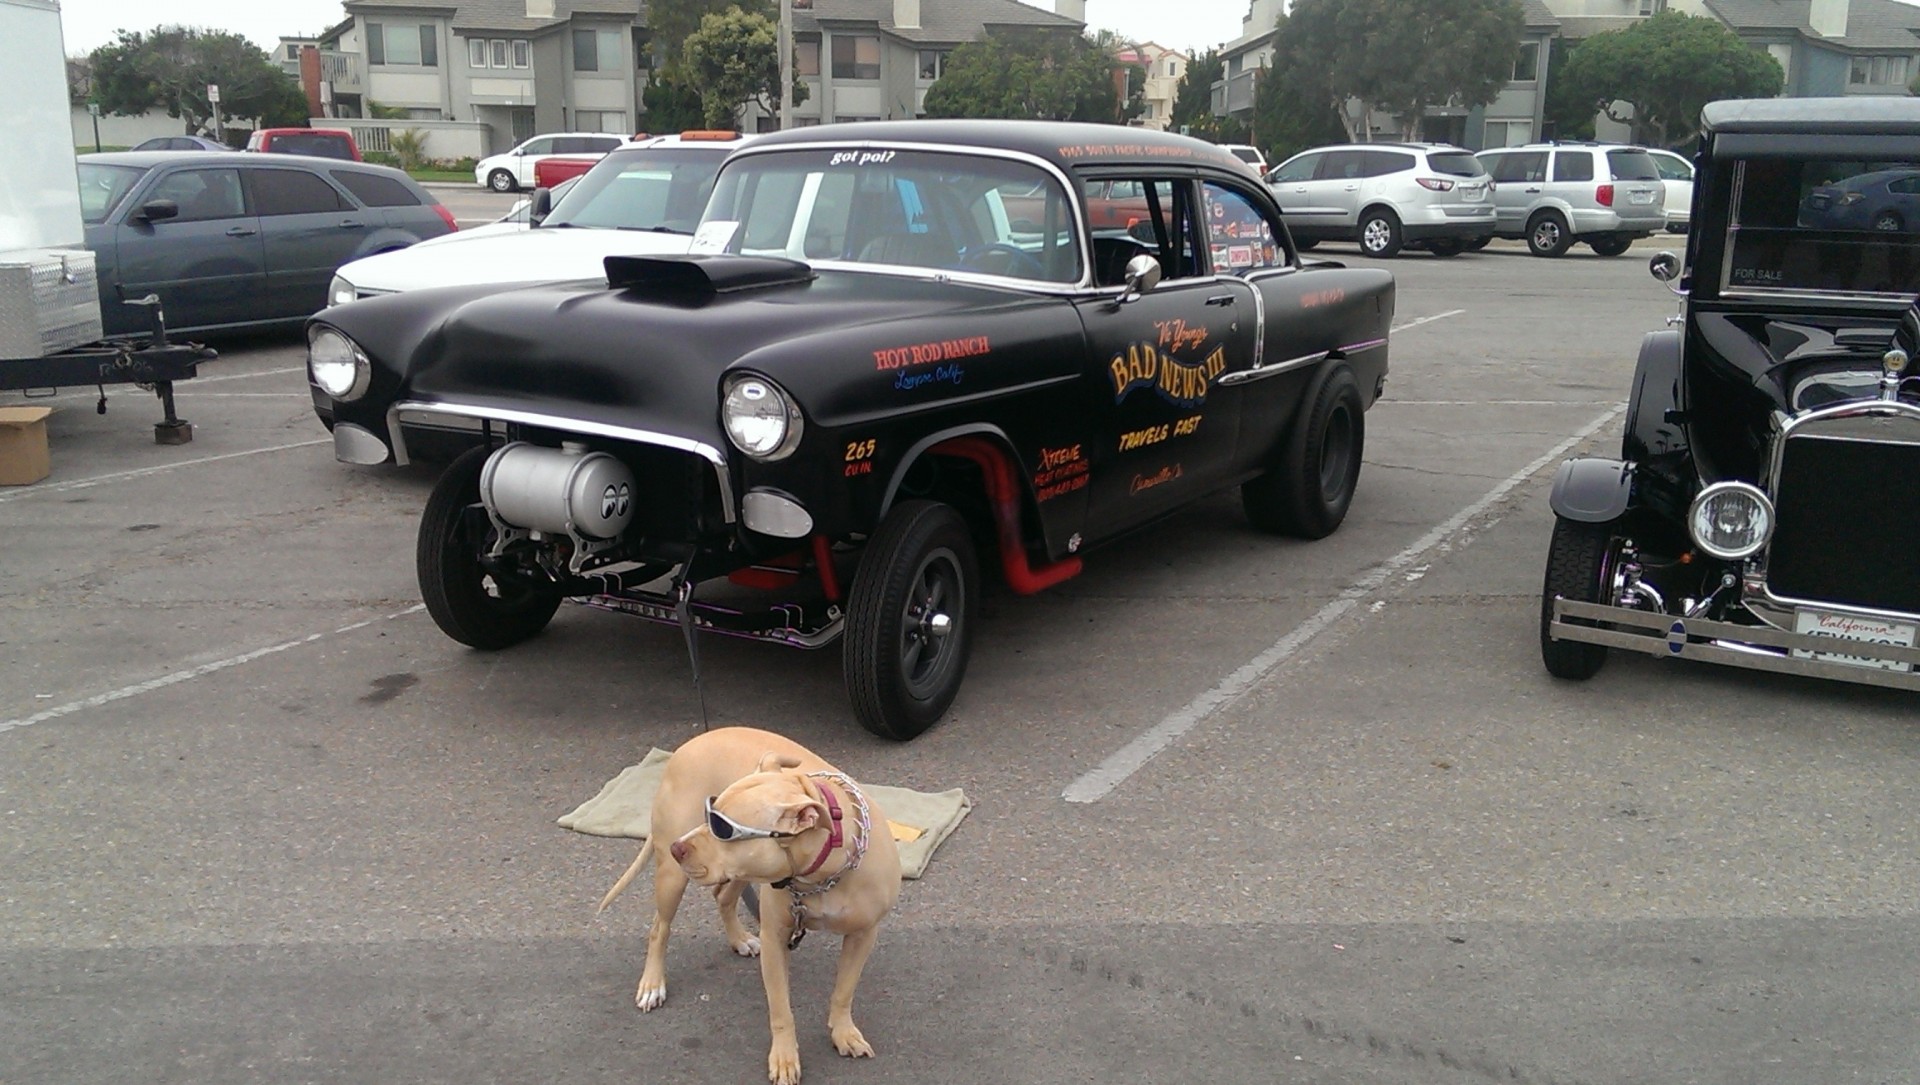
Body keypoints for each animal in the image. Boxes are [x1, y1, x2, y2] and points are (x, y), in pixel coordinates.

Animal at [595, 725, 902, 1083]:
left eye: (723, 829)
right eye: (710, 815)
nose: (677, 847)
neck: (822, 870)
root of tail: (692, 742)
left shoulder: (863, 936)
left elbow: (844, 991)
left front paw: (843, 1033)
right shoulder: (775, 940)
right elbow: (781, 1009)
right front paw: (785, 1058)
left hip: (746, 871)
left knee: (724, 897)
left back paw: (739, 939)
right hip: (672, 876)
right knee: (660, 927)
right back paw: (653, 984)